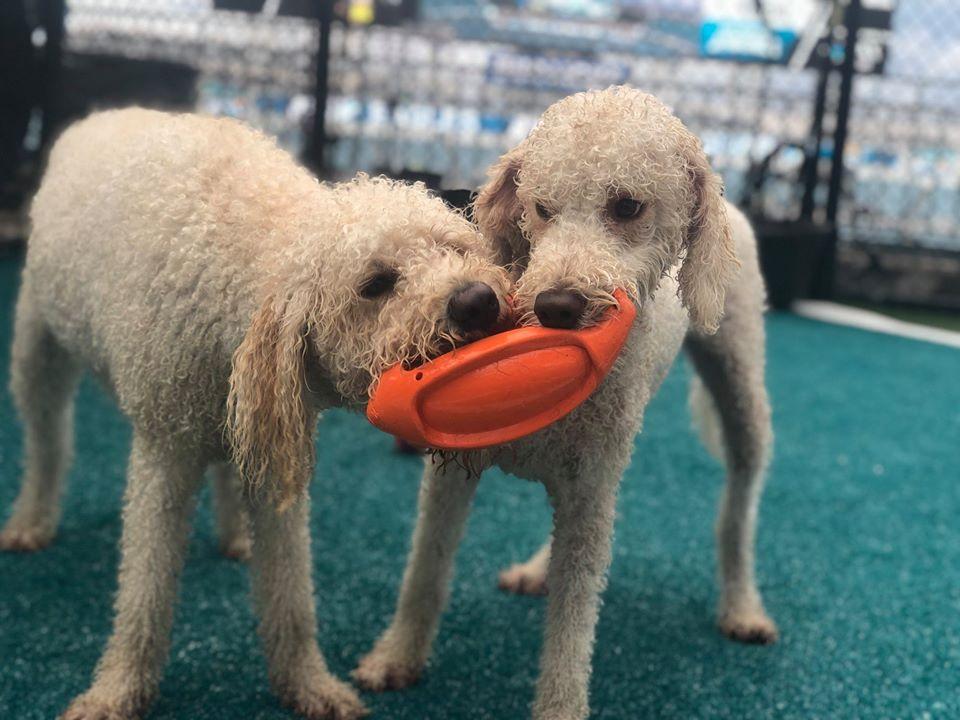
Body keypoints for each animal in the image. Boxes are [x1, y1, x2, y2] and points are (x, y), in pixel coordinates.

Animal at [1, 107, 510, 720]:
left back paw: (233, 535)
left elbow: (289, 595)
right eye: (376, 283)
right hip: (37, 347)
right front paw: (117, 690)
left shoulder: (273, 448)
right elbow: (145, 593)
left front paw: (308, 685)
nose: (477, 300)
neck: (240, 257)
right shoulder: (163, 450)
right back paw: (32, 519)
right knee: (47, 440)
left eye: (454, 249)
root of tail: (96, 115)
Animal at [356, 88, 776, 720]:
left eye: (627, 206)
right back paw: (537, 569)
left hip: (740, 380)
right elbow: (425, 566)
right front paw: (396, 657)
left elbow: (573, 625)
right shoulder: (454, 473)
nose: (556, 305)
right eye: (541, 208)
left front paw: (559, 705)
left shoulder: (591, 492)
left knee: (741, 500)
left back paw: (743, 605)